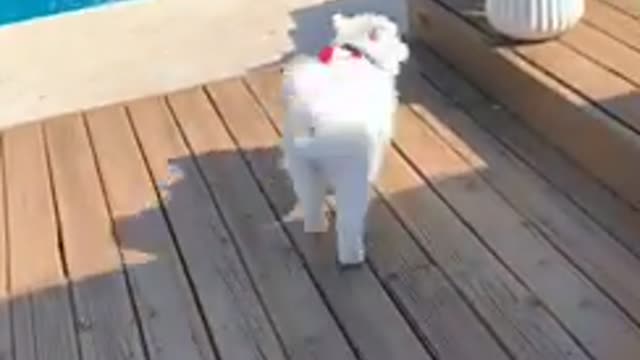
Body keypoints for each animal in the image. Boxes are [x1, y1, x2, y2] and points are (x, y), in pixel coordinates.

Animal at [280, 12, 410, 266]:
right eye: (394, 35)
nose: (405, 48)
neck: (357, 51)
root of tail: (314, 120)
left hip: (303, 168)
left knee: (311, 201)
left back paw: (316, 226)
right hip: (351, 174)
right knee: (348, 222)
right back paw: (353, 257)